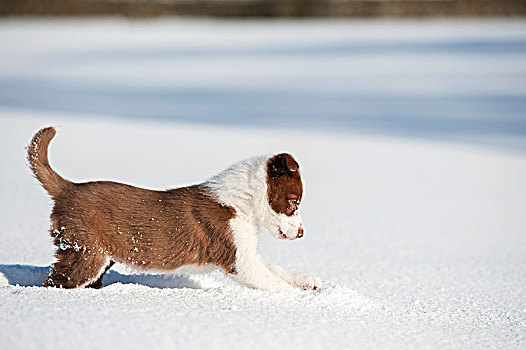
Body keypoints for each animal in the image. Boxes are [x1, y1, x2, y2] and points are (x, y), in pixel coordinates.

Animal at [27, 127, 322, 292]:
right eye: (294, 202)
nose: (302, 233)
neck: (241, 203)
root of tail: (68, 188)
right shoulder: (238, 259)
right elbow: (272, 281)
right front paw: (300, 302)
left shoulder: (245, 251)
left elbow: (275, 269)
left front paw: (306, 280)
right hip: (86, 251)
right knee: (56, 281)